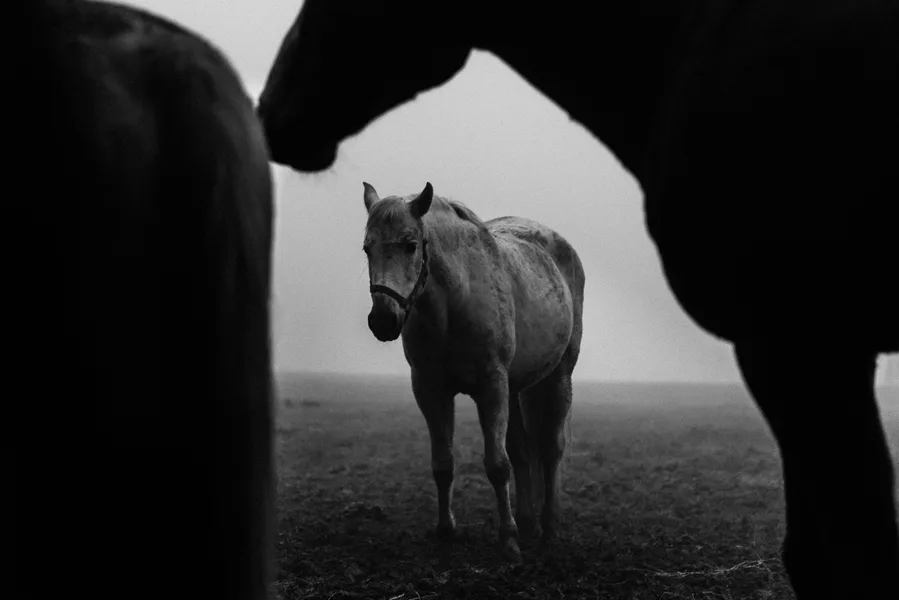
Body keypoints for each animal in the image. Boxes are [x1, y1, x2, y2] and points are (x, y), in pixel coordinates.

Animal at [361, 181, 585, 560]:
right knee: (523, 450)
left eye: (410, 245)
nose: (383, 320)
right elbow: (443, 464)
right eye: (367, 249)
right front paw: (446, 531)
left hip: (557, 377)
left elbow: (497, 465)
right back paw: (528, 523)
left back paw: (549, 528)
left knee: (551, 448)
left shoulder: (491, 387)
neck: (453, 306)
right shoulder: (430, 390)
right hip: (516, 388)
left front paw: (508, 541)